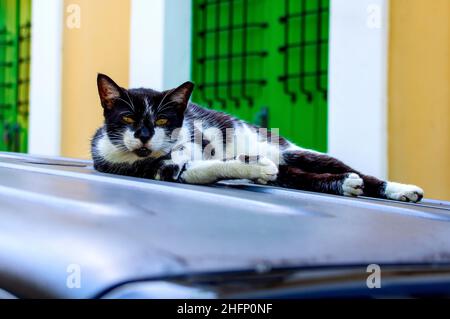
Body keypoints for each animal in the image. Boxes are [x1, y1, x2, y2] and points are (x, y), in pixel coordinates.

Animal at [92, 74, 426, 202]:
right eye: (128, 118)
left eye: (162, 120)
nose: (144, 137)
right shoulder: (171, 171)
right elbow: (213, 166)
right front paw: (252, 167)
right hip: (289, 170)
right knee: (301, 177)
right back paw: (343, 183)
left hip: (289, 149)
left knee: (354, 171)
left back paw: (398, 189)